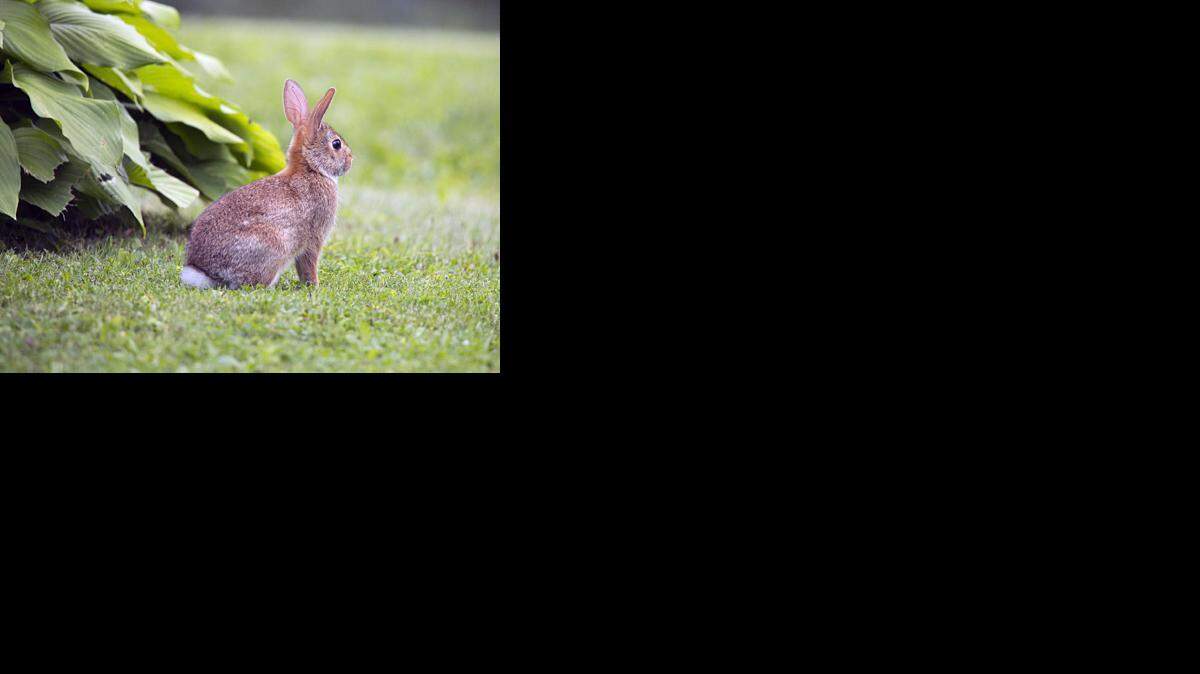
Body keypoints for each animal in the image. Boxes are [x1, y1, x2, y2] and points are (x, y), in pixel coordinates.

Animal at [180, 79, 353, 289]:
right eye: (336, 144)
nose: (351, 160)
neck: (311, 168)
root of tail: (204, 272)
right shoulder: (314, 237)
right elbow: (309, 264)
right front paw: (314, 285)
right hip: (272, 245)